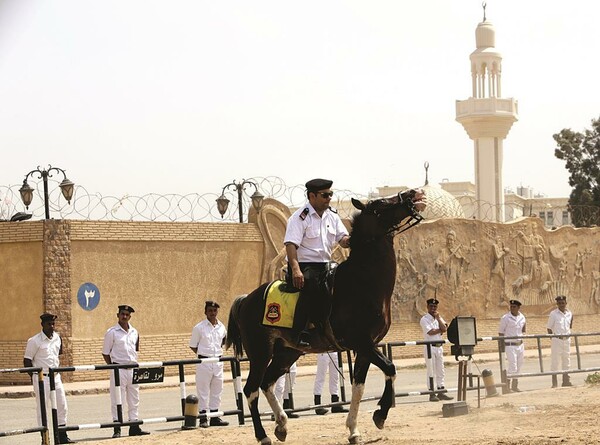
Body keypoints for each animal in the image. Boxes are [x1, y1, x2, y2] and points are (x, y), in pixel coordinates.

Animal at [225, 188, 426, 444]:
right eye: (381, 203)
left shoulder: (367, 346)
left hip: (287, 352)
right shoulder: (361, 342)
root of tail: (246, 299)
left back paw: (281, 424)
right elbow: (390, 368)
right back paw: (263, 436)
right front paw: (380, 412)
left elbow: (359, 386)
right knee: (251, 389)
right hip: (261, 353)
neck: (362, 281)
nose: (413, 193)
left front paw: (353, 429)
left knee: (267, 382)